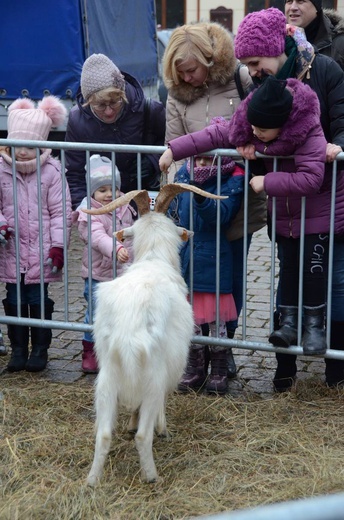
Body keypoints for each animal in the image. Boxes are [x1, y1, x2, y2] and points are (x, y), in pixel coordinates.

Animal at [83, 183, 226, 484]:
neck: (153, 259)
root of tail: (129, 326)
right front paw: (162, 428)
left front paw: (130, 422)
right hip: (153, 375)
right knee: (142, 435)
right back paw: (151, 476)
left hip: (107, 377)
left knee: (103, 434)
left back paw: (92, 480)